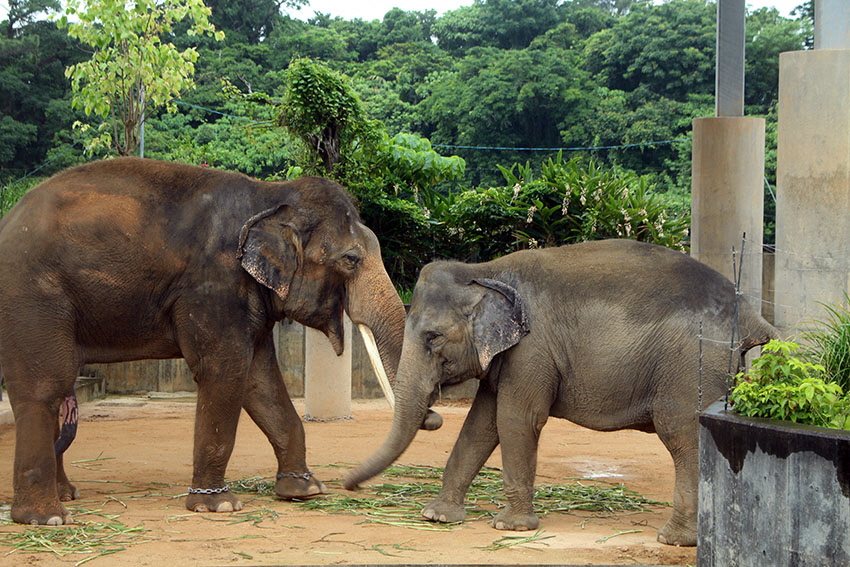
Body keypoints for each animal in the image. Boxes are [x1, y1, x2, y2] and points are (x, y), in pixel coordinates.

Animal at [0, 156, 438, 528]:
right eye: (350, 260)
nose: (434, 418)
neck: (270, 198)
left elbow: (261, 380)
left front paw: (304, 490)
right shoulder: (214, 286)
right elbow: (225, 371)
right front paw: (218, 505)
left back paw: (66, 496)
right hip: (32, 294)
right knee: (47, 384)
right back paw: (46, 518)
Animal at [342, 240, 776, 544]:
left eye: (433, 338)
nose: (349, 483)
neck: (486, 271)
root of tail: (752, 315)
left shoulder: (532, 349)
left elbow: (516, 419)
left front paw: (510, 527)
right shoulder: (508, 357)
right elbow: (481, 423)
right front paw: (437, 516)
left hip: (691, 367)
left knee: (682, 435)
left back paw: (673, 539)